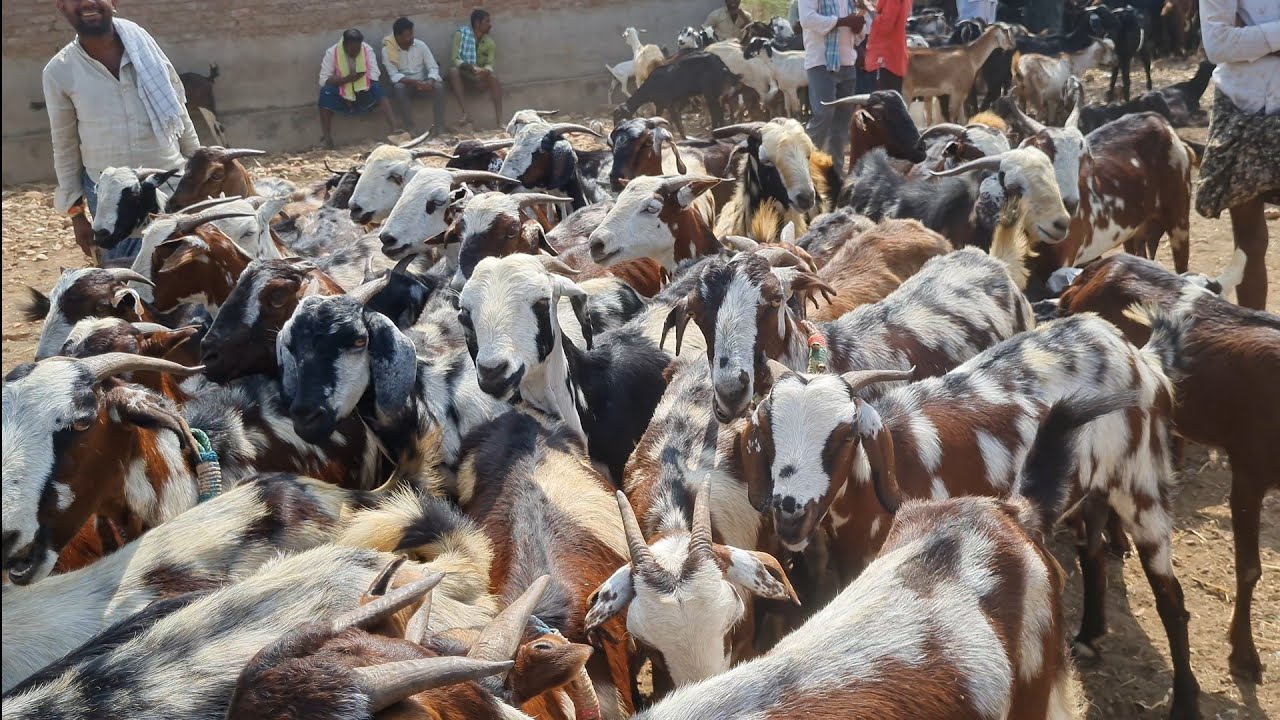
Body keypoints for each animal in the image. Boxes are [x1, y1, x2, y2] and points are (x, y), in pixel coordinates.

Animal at [739, 310, 1200, 717]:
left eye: (847, 435)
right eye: (765, 429)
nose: (791, 516)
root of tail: (1134, 353)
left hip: (1143, 487)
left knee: (1171, 598)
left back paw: (1185, 702)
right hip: (1093, 491)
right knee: (1093, 552)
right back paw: (1088, 634)